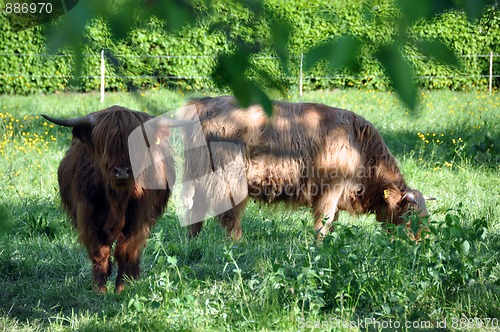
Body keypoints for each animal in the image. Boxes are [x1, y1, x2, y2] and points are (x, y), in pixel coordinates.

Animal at [180, 96, 430, 241]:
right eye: (411, 216)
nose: (421, 243)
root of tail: (203, 102)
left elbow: (331, 221)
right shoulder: (331, 188)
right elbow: (324, 222)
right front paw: (320, 247)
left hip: (199, 174)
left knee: (196, 208)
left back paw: (193, 242)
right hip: (229, 179)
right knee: (229, 215)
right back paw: (238, 244)